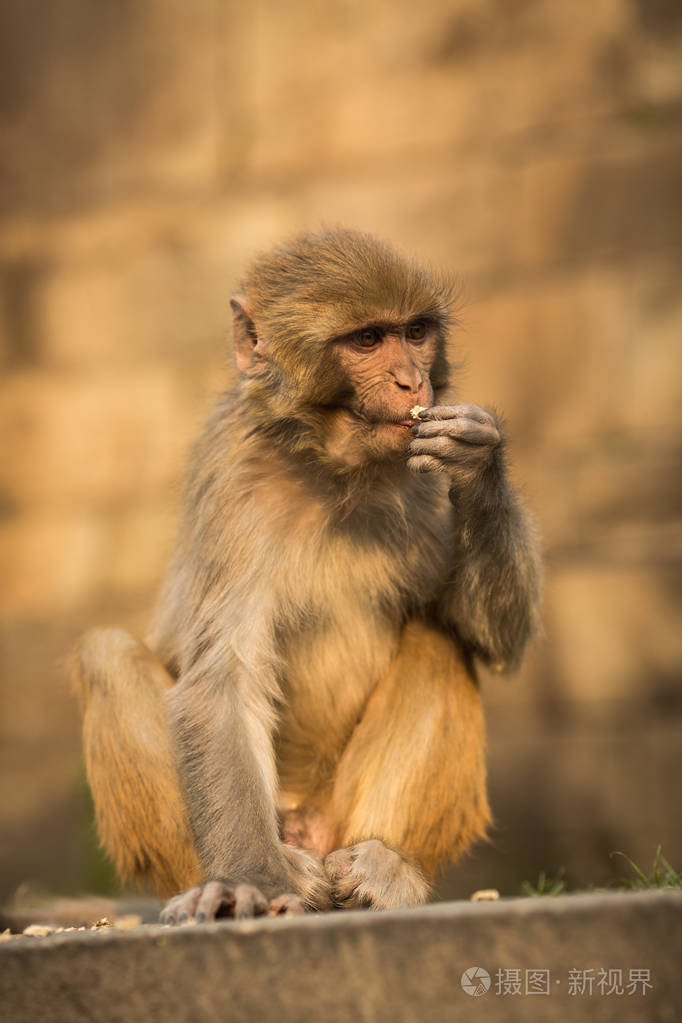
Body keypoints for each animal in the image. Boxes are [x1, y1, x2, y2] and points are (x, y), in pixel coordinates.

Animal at [72, 228, 539, 924]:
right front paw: (252, 885)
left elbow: (490, 636)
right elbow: (224, 680)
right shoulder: (233, 475)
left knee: (441, 640)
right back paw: (237, 879)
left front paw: (477, 461)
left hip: (339, 812)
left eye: (416, 332)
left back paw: (388, 868)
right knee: (108, 654)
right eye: (368, 340)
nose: (412, 380)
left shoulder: (420, 478)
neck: (332, 466)